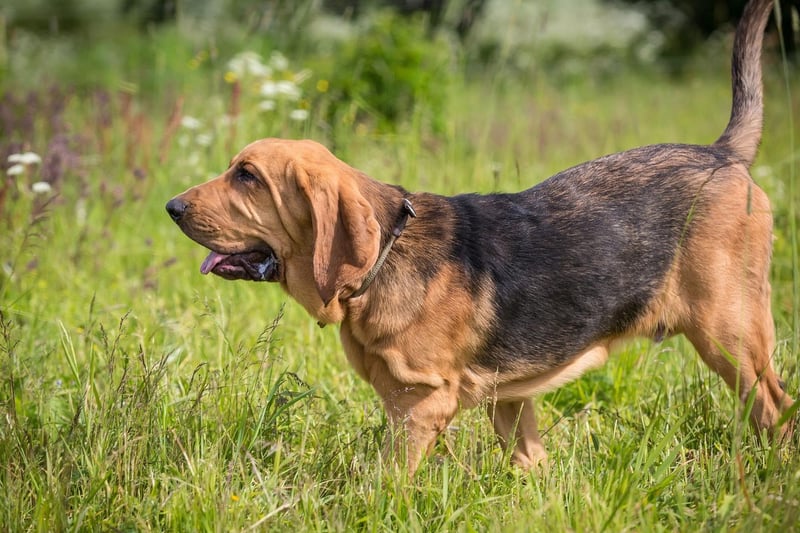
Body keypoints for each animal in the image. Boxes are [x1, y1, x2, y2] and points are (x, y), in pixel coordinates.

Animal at [166, 0, 792, 474]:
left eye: (247, 177)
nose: (171, 208)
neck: (385, 256)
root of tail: (723, 154)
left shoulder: (421, 406)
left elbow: (385, 482)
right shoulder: (509, 401)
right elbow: (531, 463)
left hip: (732, 336)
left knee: (777, 408)